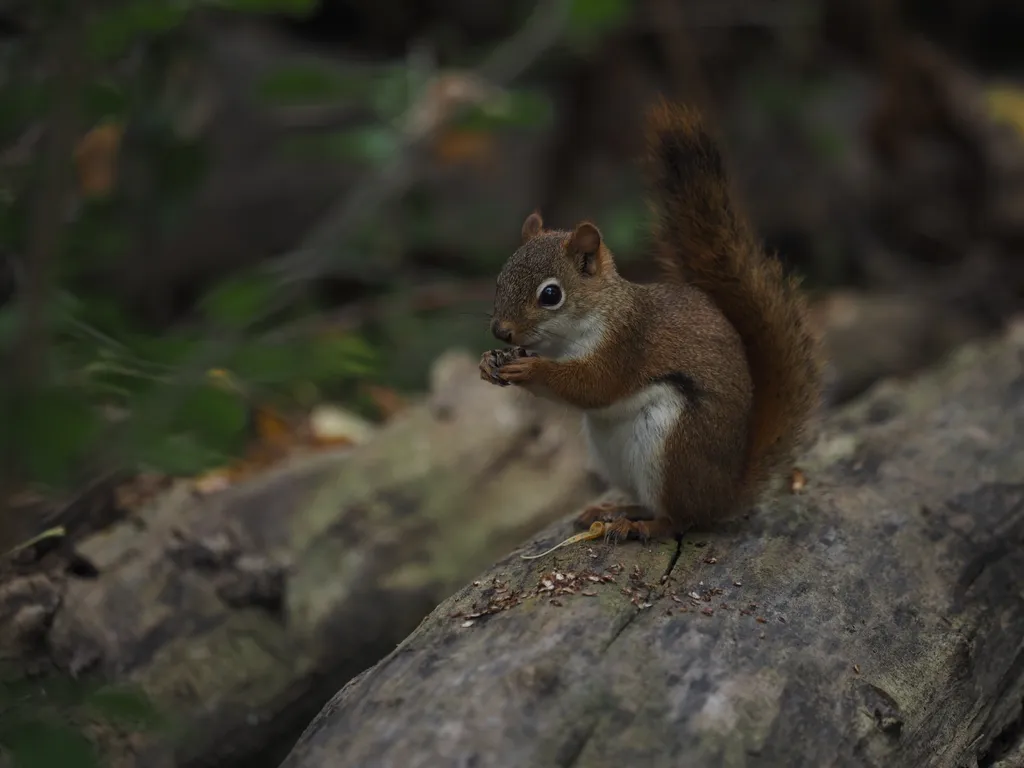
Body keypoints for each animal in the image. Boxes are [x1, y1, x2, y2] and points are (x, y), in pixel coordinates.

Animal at [479, 99, 823, 544]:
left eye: (551, 295)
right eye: (500, 278)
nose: (500, 331)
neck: (573, 334)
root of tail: (724, 493)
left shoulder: (627, 343)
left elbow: (594, 386)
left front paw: (530, 368)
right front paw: (491, 361)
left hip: (673, 449)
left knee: (681, 518)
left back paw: (638, 526)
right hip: (613, 456)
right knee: (651, 503)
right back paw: (613, 510)